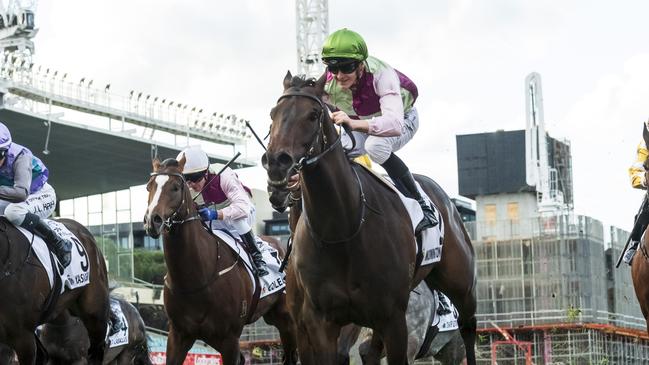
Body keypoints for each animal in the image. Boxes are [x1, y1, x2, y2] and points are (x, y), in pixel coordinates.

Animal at [143, 156, 298, 364]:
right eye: (149, 186)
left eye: (175, 187)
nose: (153, 221)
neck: (196, 279)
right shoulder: (178, 335)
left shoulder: (229, 339)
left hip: (286, 318)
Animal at [262, 72, 476, 362]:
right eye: (273, 113)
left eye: (313, 115)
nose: (277, 163)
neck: (342, 230)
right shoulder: (319, 322)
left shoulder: (394, 318)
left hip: (461, 287)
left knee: (467, 329)